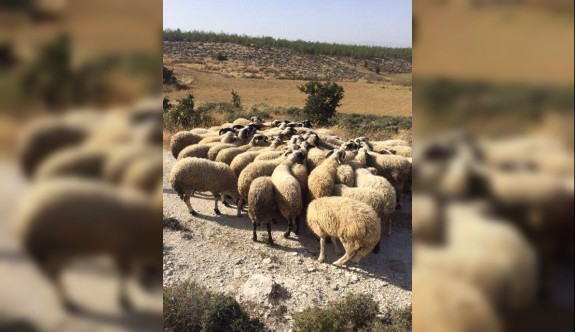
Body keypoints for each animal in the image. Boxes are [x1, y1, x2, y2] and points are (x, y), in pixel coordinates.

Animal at [17, 179, 162, 312]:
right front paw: (124, 300)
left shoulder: (124, 251)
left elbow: (125, 273)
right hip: (51, 248)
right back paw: (67, 301)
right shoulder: (123, 250)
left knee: (54, 274)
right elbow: (125, 274)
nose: (147, 284)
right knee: (54, 274)